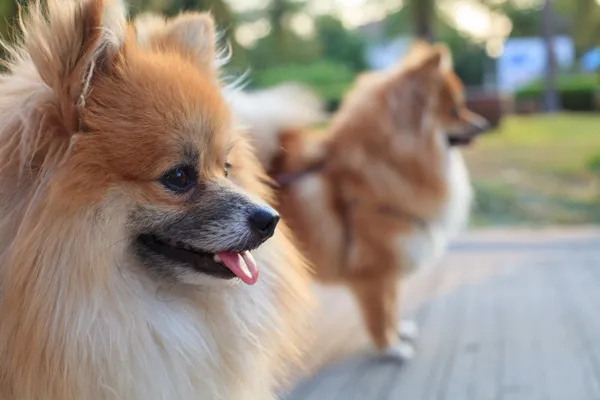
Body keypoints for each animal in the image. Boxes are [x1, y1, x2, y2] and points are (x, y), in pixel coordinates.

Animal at [232, 43, 490, 360]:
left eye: (462, 106)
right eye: (454, 110)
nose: (484, 124)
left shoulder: (389, 269)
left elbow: (392, 308)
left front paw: (399, 333)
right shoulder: (374, 272)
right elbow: (381, 313)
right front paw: (392, 347)